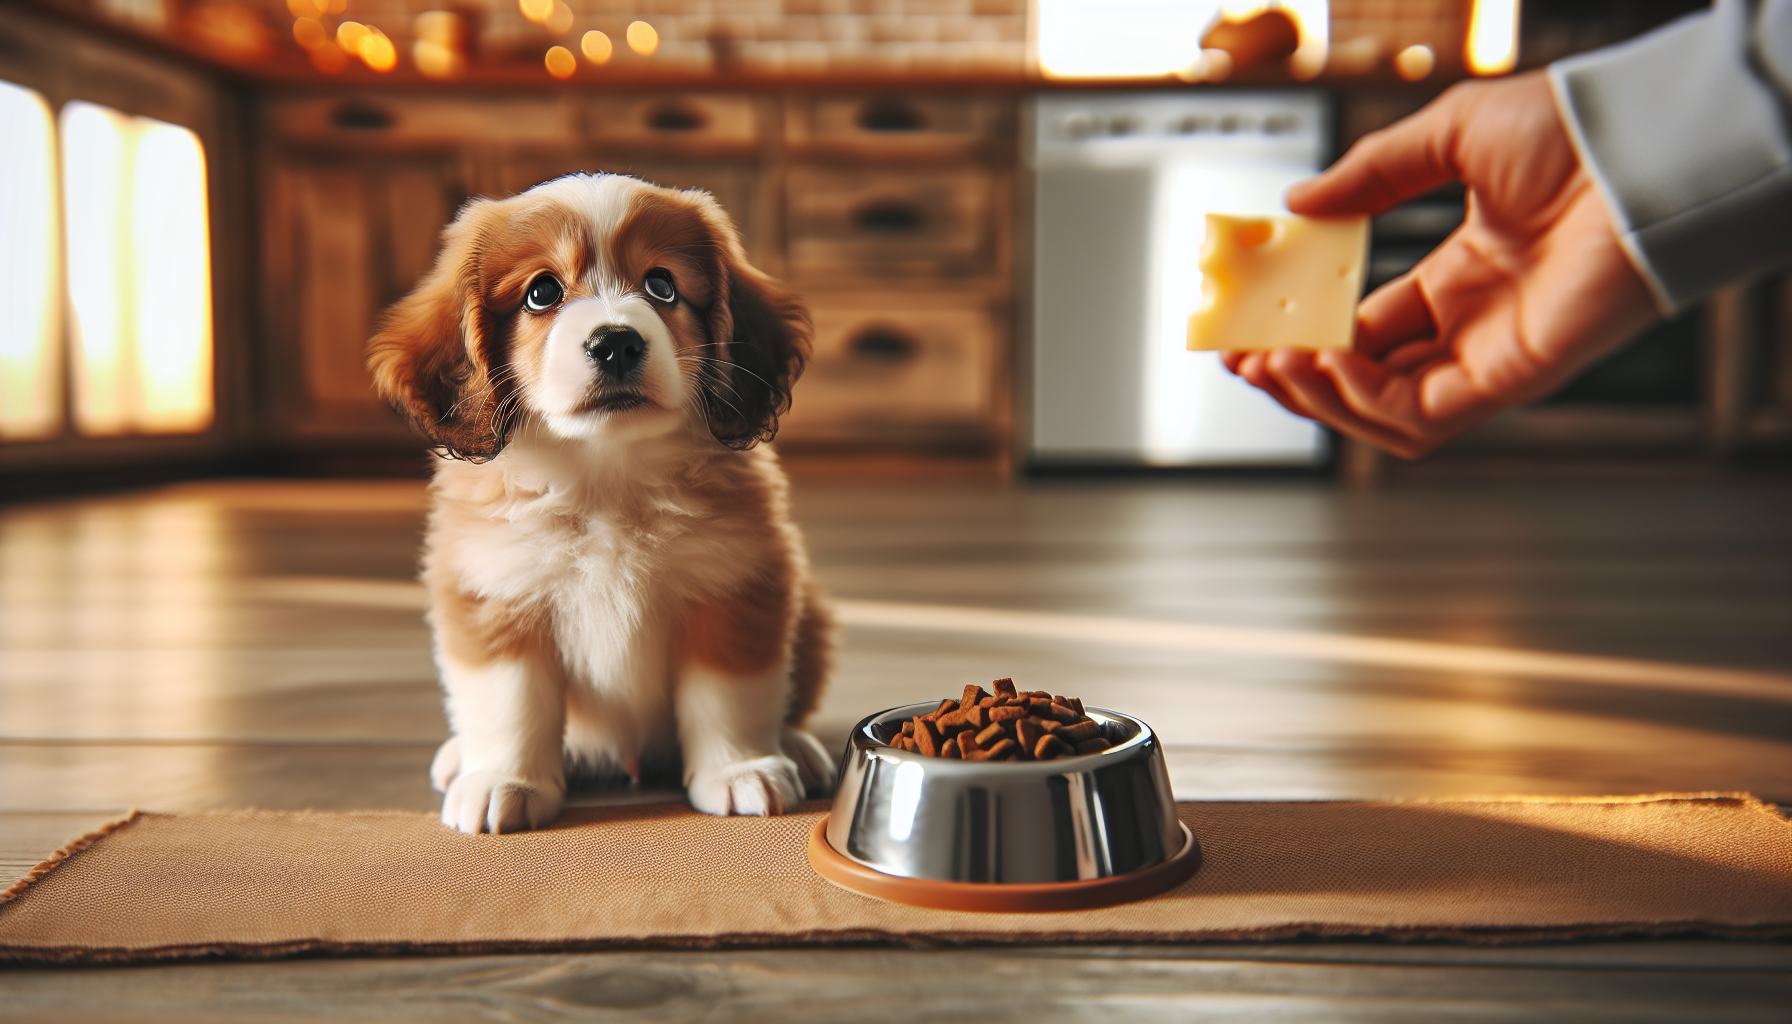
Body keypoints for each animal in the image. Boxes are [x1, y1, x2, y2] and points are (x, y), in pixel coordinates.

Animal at [369, 173, 838, 832]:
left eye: (662, 285)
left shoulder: (733, 585)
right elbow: (509, 700)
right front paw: (503, 780)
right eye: (542, 293)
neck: (607, 479)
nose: (615, 343)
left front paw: (740, 769)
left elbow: (730, 694)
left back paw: (794, 745)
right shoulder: (497, 591)